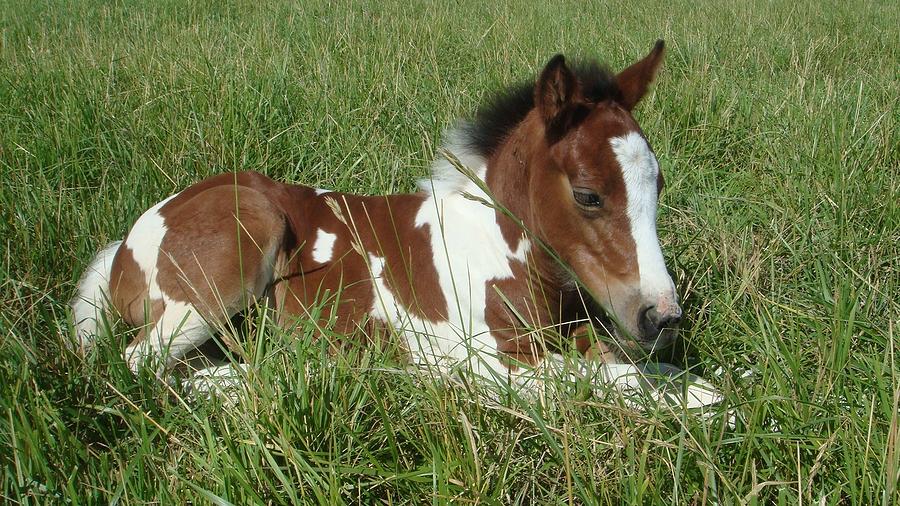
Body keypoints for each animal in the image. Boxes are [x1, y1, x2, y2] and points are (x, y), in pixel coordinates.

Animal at [71, 41, 711, 402]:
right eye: (587, 195)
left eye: (657, 184)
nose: (661, 317)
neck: (496, 245)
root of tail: (125, 249)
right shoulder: (493, 358)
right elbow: (617, 382)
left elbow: (644, 371)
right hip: (229, 256)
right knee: (145, 367)